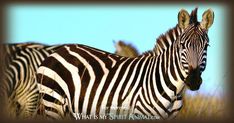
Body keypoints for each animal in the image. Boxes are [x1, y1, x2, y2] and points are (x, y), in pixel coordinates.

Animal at [36, 7, 214, 120]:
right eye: (182, 46)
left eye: (206, 46)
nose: (194, 80)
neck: (174, 90)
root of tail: (57, 51)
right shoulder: (140, 114)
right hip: (53, 103)